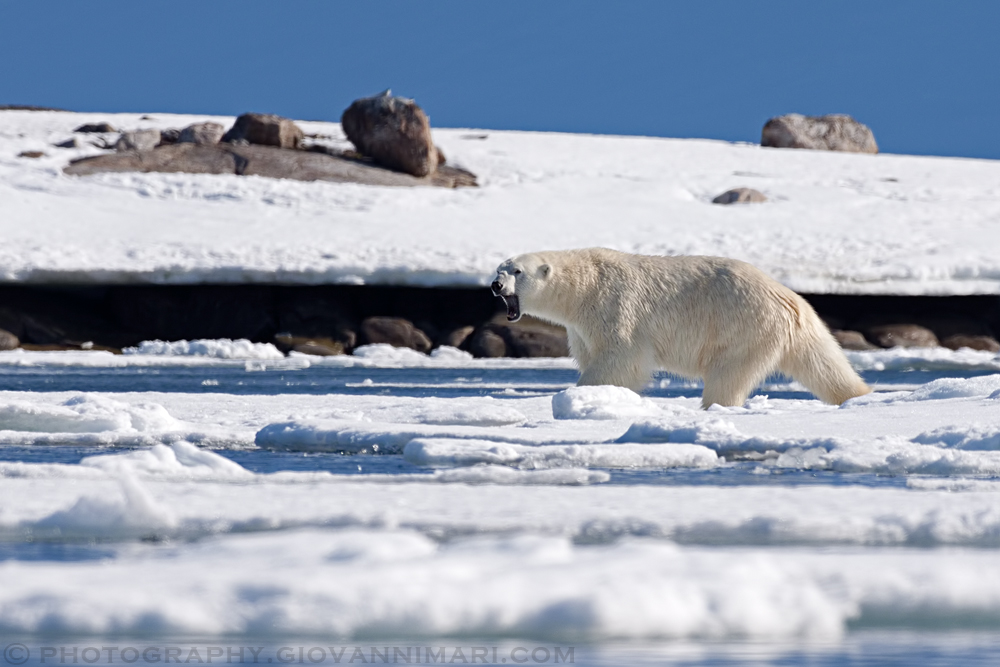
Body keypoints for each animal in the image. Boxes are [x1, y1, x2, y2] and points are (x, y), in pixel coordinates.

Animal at [490, 248, 871, 408]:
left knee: (728, 375)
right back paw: (857, 395)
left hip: (742, 326)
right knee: (824, 363)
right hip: (793, 329)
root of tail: (790, 300)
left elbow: (622, 358)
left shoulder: (614, 304)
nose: (495, 285)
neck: (584, 284)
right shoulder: (582, 327)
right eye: (499, 268)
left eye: (517, 271)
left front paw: (580, 395)